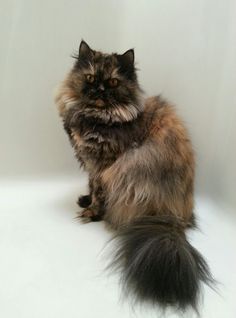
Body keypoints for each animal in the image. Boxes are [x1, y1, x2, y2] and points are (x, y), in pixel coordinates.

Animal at [54, 41, 213, 312]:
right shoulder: (92, 166)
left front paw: (92, 212)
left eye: (113, 82)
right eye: (90, 77)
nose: (99, 89)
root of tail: (172, 220)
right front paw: (85, 200)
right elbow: (90, 186)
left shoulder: (104, 166)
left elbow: (99, 192)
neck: (96, 118)